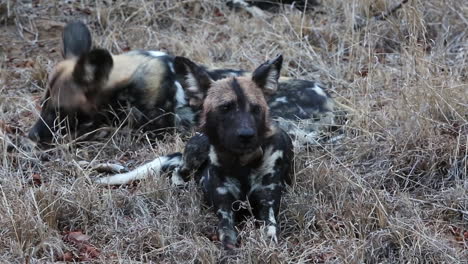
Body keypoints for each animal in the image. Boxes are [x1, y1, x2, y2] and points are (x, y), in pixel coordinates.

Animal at [97, 54, 292, 249]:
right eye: (225, 108)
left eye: (256, 109)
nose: (246, 135)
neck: (241, 163)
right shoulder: (225, 211)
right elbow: (227, 238)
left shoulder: (267, 206)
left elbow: (270, 234)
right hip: (197, 150)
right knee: (178, 171)